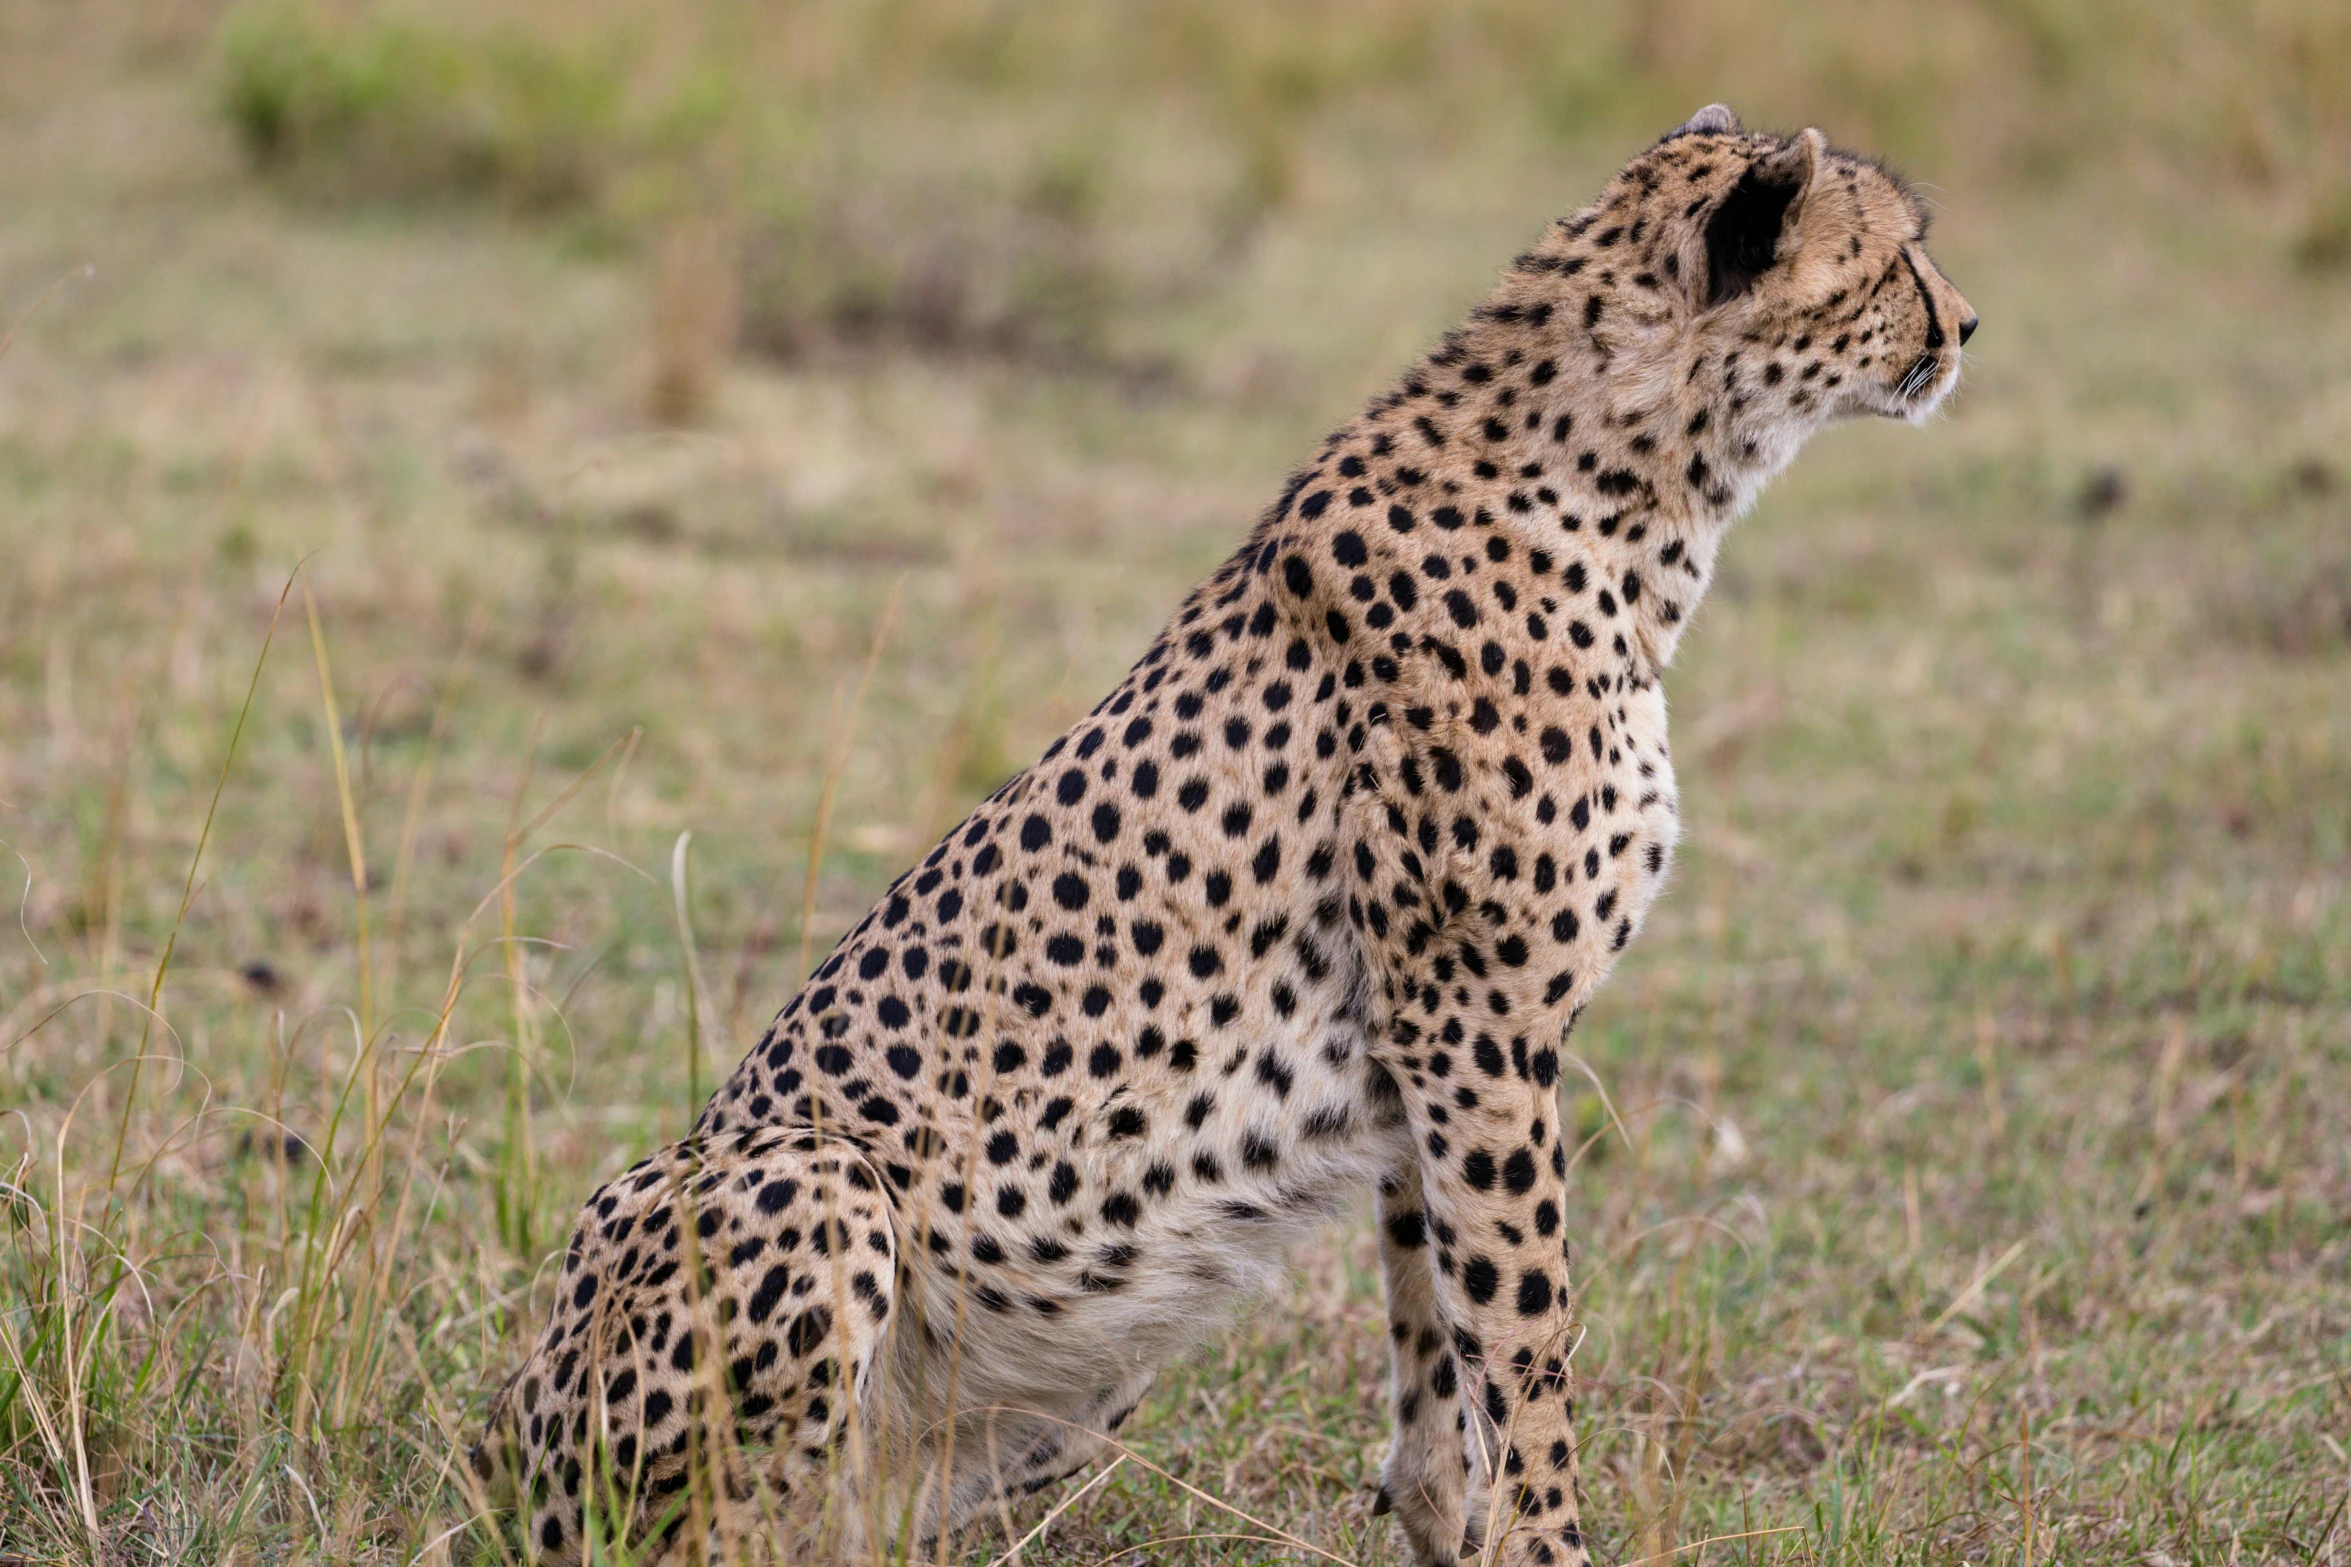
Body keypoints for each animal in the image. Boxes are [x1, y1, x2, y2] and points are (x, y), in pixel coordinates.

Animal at [472, 107, 1965, 1567]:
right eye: (1895, 258)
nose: (1965, 324)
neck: (1629, 491)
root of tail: (510, 1443)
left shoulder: (1425, 1054)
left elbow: (1440, 1335)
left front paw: (1450, 1521)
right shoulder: (1474, 1022)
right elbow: (1524, 1332)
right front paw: (1545, 1536)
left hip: (1069, 1385)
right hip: (807, 1181)